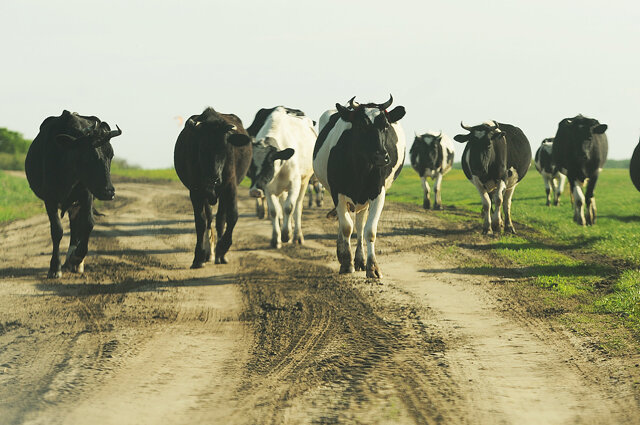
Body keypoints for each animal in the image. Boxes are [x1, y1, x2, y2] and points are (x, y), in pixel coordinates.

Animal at [24, 107, 122, 276]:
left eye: (111, 155)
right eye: (89, 156)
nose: (109, 192)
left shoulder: (87, 193)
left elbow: (88, 223)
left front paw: (77, 258)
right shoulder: (49, 198)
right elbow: (57, 230)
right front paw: (54, 267)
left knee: (76, 225)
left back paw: (74, 261)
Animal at [246, 105, 316, 248]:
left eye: (268, 165)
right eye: (250, 166)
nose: (255, 191)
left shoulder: (294, 184)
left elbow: (289, 207)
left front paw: (286, 235)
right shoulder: (267, 188)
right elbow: (274, 211)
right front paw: (275, 239)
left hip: (304, 181)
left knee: (297, 207)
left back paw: (297, 235)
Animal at [312, 94, 408, 276]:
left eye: (385, 126)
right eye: (362, 125)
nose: (382, 157)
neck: (361, 169)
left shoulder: (378, 193)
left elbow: (369, 230)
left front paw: (372, 267)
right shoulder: (337, 193)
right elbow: (346, 227)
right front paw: (346, 262)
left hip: (364, 200)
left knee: (360, 224)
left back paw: (360, 260)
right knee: (346, 224)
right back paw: (344, 254)